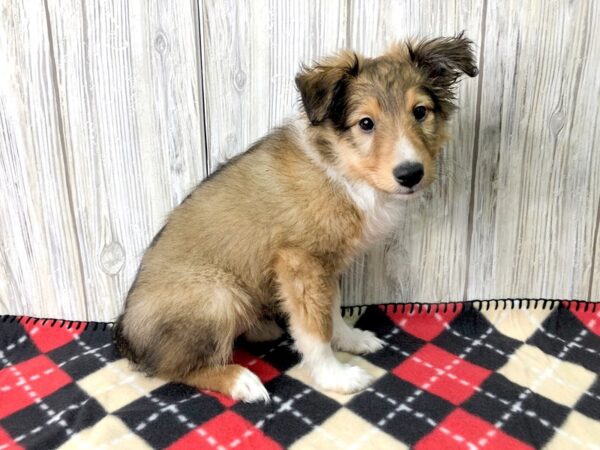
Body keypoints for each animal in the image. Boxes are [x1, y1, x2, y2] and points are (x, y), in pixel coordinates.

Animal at [113, 34, 478, 400]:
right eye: (366, 123)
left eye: (420, 112)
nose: (410, 174)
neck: (342, 170)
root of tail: (126, 339)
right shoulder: (300, 262)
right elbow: (315, 328)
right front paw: (334, 375)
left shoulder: (324, 265)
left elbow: (331, 310)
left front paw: (350, 339)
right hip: (219, 294)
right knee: (172, 368)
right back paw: (240, 380)